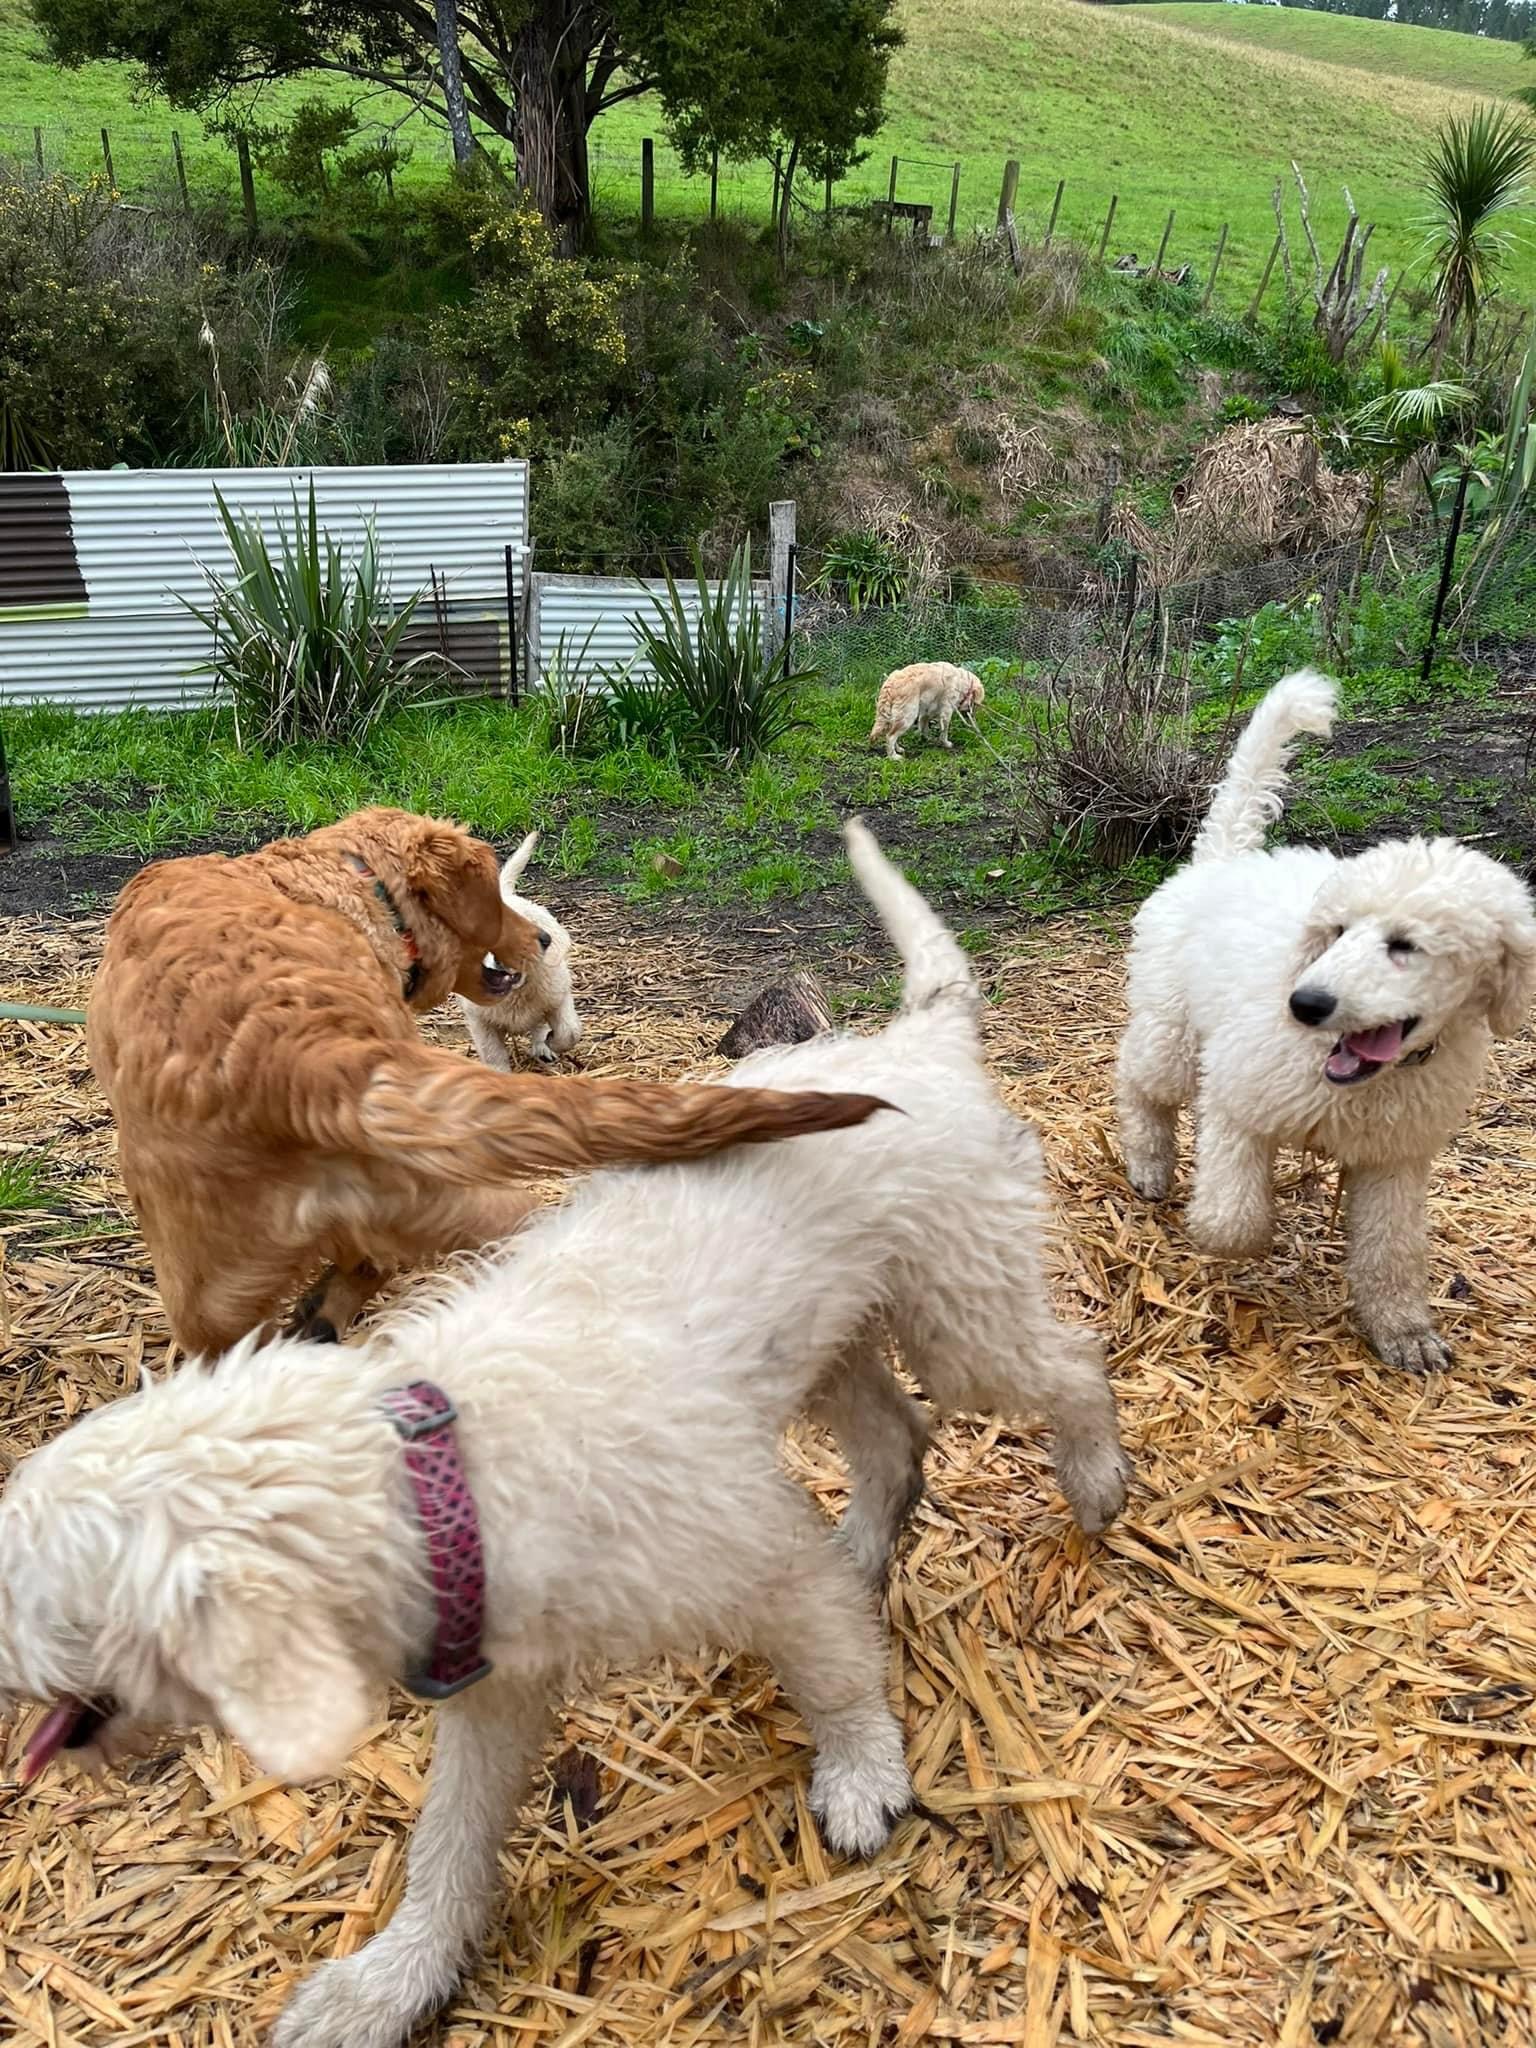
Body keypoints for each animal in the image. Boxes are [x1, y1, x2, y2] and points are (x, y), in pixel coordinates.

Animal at [0, 819, 1130, 2048]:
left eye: (40, 1595)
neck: (446, 1479)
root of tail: (921, 1039)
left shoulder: (758, 1559)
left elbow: (831, 1671)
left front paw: (862, 1777)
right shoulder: (495, 1695)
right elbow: (446, 1849)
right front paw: (389, 1983)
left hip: (960, 1317)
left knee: (1071, 1367)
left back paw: (1098, 1483)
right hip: (831, 1346)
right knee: (895, 1443)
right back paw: (868, 1550)